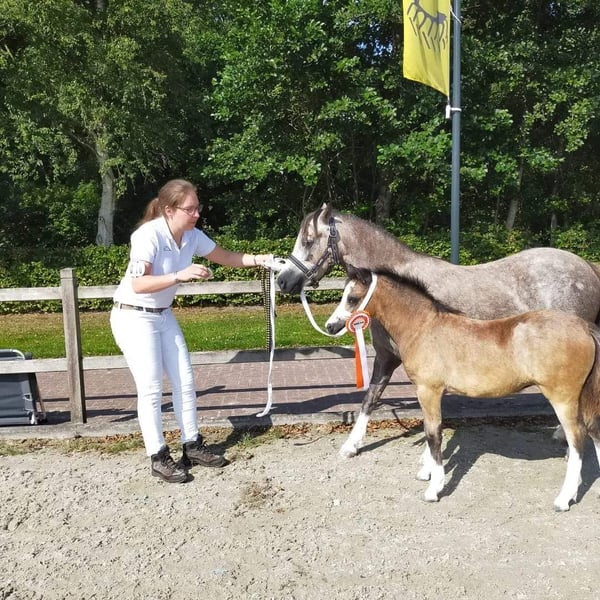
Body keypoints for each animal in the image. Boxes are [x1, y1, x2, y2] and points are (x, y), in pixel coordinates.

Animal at [276, 204, 600, 442]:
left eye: (308, 241)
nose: (283, 281)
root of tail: (586, 267)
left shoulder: (388, 357)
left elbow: (373, 397)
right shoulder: (387, 357)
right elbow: (371, 398)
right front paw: (353, 445)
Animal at [325, 267, 600, 511]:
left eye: (352, 298)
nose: (330, 326)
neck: (423, 328)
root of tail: (584, 327)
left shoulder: (428, 390)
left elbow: (433, 433)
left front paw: (434, 489)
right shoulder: (435, 393)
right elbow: (434, 429)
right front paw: (427, 472)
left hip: (563, 398)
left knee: (577, 439)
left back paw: (563, 499)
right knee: (594, 431)